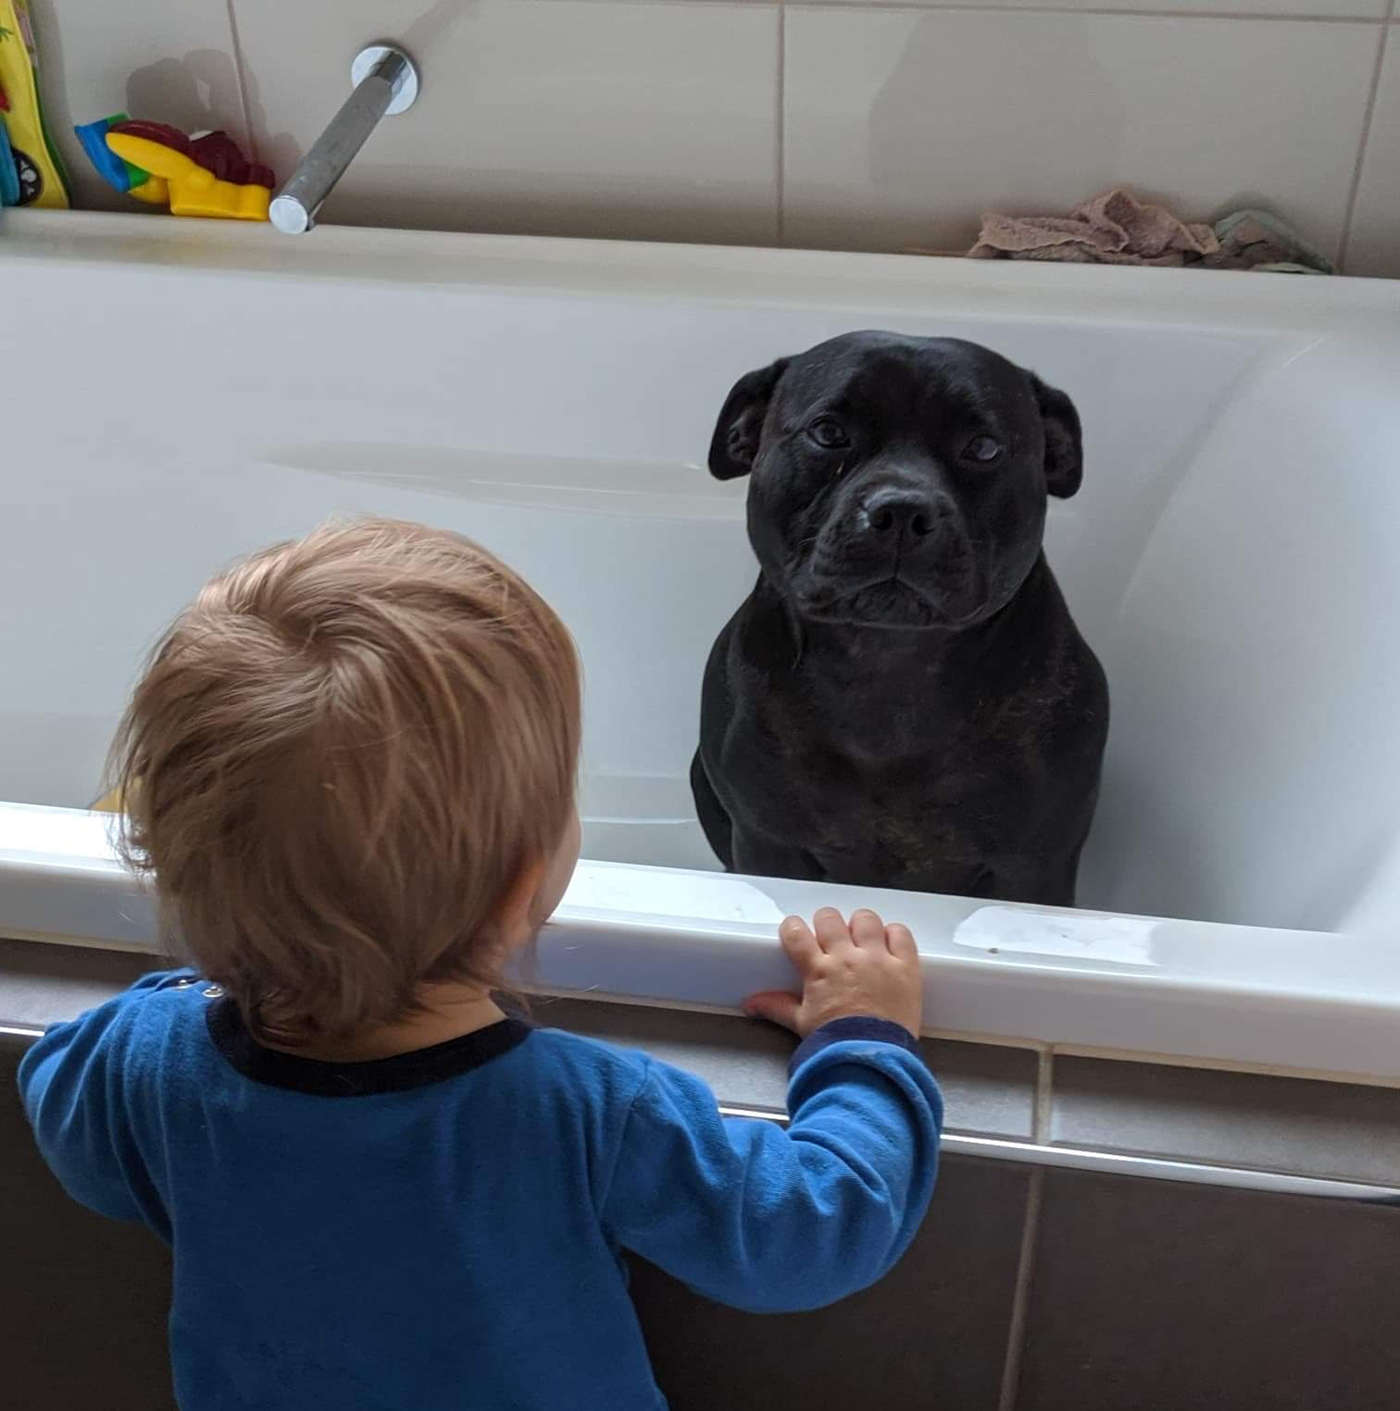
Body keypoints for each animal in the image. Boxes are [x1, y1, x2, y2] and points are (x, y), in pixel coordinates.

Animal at [694, 330, 1112, 903]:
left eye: (984, 447)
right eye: (828, 433)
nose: (902, 510)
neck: (886, 667)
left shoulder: (1035, 867)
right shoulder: (768, 844)